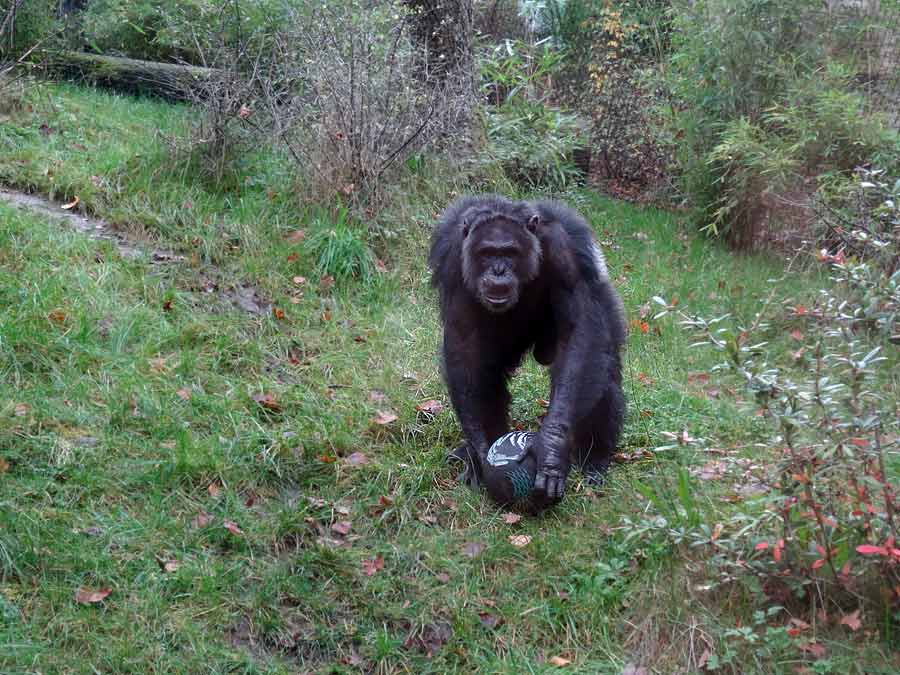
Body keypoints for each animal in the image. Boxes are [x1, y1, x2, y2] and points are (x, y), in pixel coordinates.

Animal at [428, 194, 624, 502]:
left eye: (509, 252)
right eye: (487, 253)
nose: (498, 270)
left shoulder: (563, 249)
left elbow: (578, 332)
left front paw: (552, 448)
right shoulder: (452, 258)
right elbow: (464, 345)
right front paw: (479, 452)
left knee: (603, 370)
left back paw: (595, 460)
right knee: (488, 374)